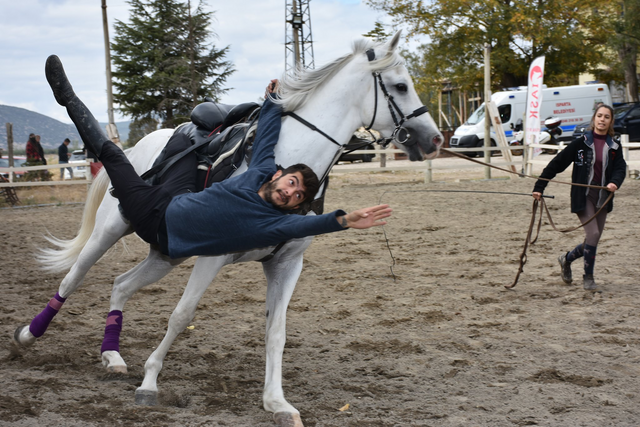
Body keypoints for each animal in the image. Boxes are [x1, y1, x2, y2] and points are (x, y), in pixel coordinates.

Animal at [16, 31, 444, 426]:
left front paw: (277, 402)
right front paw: (150, 382)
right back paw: (28, 335)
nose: (435, 138)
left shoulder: (286, 263)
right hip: (112, 228)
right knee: (73, 278)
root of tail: (141, 145)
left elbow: (276, 331)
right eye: (401, 86)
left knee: (121, 284)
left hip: (165, 254)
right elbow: (182, 315)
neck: (285, 162)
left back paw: (113, 356)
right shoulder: (213, 255)